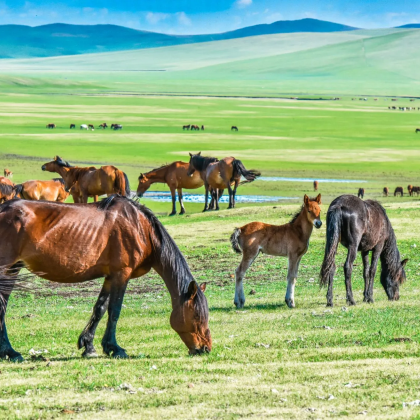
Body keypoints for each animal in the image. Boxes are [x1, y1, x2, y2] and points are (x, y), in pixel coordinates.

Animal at [0, 195, 212, 362]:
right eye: (197, 315)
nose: (205, 348)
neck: (140, 227)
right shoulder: (121, 274)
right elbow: (114, 311)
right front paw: (114, 348)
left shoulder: (110, 277)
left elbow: (100, 309)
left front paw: (89, 346)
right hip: (8, 269)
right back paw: (10, 352)